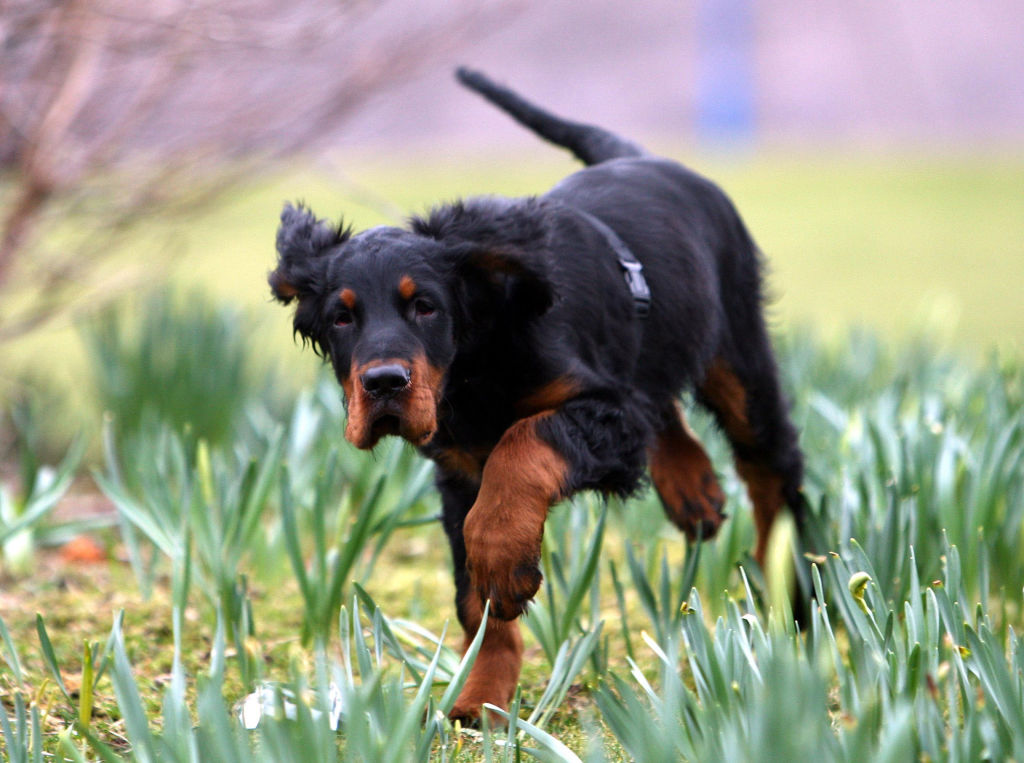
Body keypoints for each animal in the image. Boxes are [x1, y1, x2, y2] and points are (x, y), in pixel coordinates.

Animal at [270, 67, 806, 721]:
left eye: (426, 307)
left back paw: (793, 594)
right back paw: (693, 488)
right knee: (668, 408)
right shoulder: (459, 468)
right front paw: (480, 698)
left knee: (770, 467)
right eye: (341, 317)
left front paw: (503, 562)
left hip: (738, 352)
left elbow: (522, 446)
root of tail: (643, 158)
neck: (474, 363)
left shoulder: (604, 412)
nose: (385, 384)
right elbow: (473, 599)